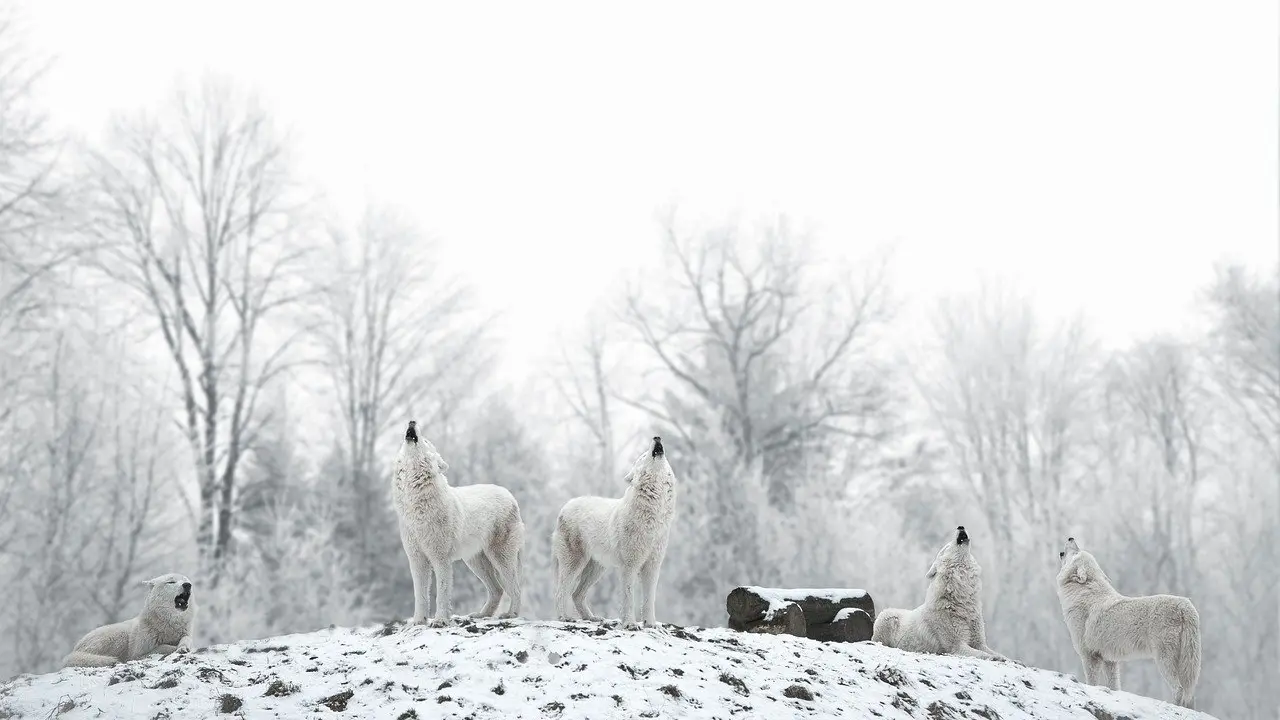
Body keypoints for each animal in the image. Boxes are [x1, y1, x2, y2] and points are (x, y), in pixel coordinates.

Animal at [62, 571, 195, 666]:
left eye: (186, 581)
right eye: (171, 582)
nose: (188, 585)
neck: (170, 624)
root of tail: (74, 650)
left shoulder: (186, 634)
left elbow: (186, 639)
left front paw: (183, 647)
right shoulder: (137, 654)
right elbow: (162, 647)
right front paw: (174, 648)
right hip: (119, 636)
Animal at [391, 417, 527, 625]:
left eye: (426, 441)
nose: (412, 421)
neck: (416, 505)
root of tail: (510, 495)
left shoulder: (440, 558)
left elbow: (442, 592)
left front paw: (440, 620)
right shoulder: (416, 559)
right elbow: (420, 595)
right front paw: (419, 621)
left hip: (500, 558)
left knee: (515, 588)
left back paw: (510, 615)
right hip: (475, 562)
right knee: (497, 590)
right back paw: (481, 614)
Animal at [555, 435, 686, 625]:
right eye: (643, 455)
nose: (657, 437)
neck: (653, 515)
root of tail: (566, 506)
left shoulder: (653, 565)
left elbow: (649, 600)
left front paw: (651, 624)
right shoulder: (629, 565)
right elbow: (628, 597)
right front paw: (630, 624)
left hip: (596, 569)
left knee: (576, 594)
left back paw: (591, 617)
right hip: (575, 564)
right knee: (561, 591)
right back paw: (564, 618)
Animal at [870, 525, 1008, 661]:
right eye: (947, 547)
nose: (960, 526)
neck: (961, 601)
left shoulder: (979, 642)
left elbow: (993, 652)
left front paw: (1006, 658)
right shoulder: (957, 645)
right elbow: (982, 654)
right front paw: (995, 658)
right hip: (887, 616)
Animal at [1049, 535, 1198, 702]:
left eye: (1076, 552)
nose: (1071, 537)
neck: (1083, 593)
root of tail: (1185, 604)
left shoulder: (1088, 655)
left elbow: (1091, 683)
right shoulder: (1110, 660)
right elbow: (1114, 687)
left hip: (1163, 659)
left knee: (1179, 689)